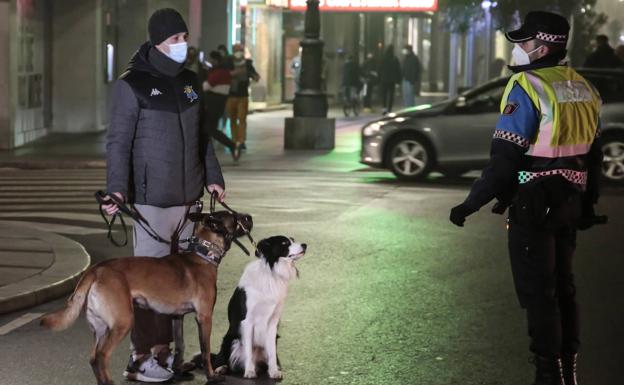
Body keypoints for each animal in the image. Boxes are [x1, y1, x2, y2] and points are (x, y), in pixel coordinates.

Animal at [41, 210, 252, 384]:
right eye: (235, 217)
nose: (249, 217)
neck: (203, 253)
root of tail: (97, 269)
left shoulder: (177, 317)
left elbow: (179, 345)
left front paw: (177, 369)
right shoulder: (205, 317)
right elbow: (206, 351)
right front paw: (211, 375)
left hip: (100, 327)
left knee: (93, 358)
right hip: (123, 321)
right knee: (102, 356)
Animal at [211, 234, 306, 378]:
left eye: (293, 240)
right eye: (284, 243)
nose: (305, 245)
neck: (272, 273)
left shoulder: (273, 322)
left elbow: (272, 352)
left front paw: (273, 371)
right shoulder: (247, 321)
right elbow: (248, 351)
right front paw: (249, 372)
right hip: (231, 340)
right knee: (221, 357)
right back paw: (221, 368)